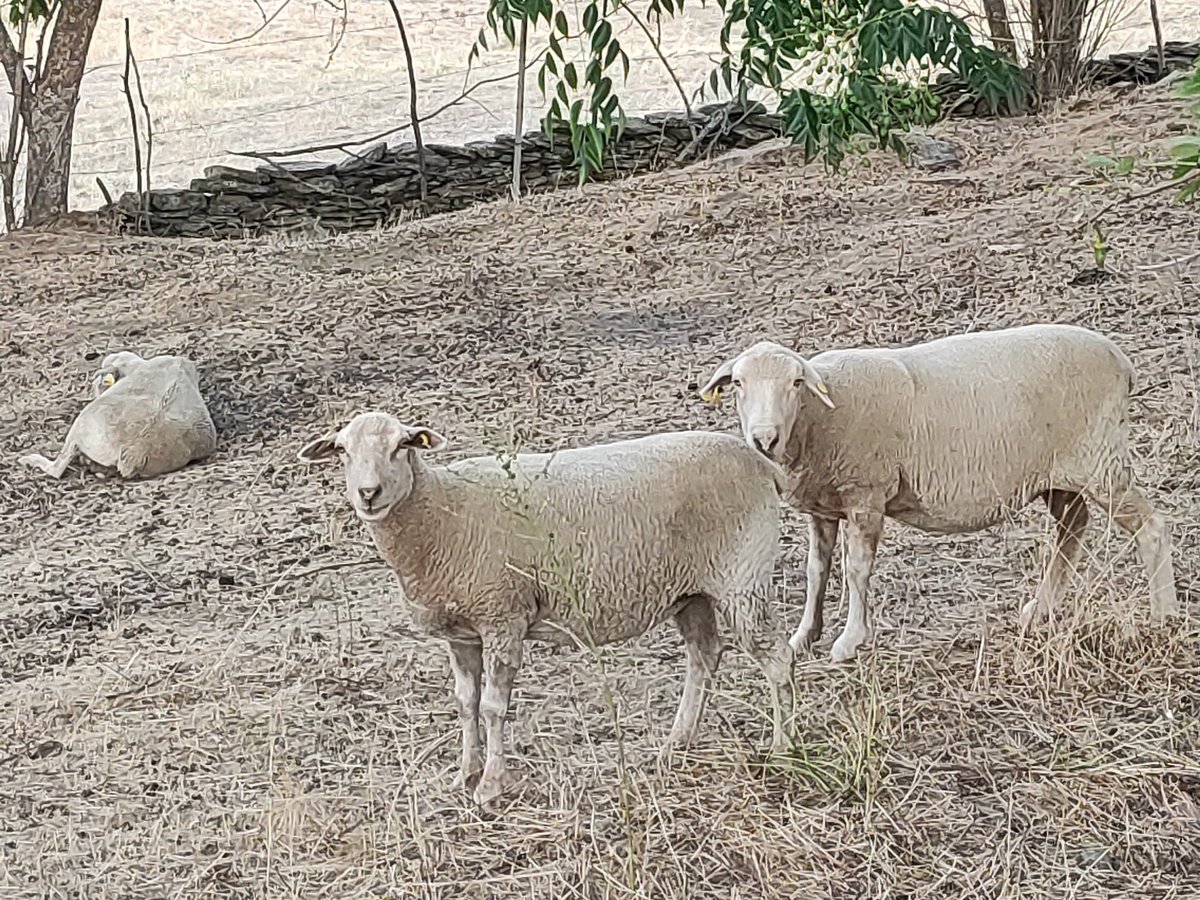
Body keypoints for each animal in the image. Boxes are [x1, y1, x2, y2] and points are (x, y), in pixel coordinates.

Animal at [298, 412, 797, 807]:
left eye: (402, 445)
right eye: (341, 449)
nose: (368, 493)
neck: (441, 510)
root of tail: (759, 463)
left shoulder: (502, 616)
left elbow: (493, 707)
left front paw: (490, 786)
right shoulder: (461, 633)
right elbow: (465, 702)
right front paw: (464, 773)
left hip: (742, 575)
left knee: (777, 657)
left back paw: (783, 747)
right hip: (690, 590)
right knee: (704, 656)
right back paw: (678, 743)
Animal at [699, 324, 1179, 663]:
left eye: (796, 383)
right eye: (738, 384)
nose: (764, 438)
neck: (819, 417)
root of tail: (1121, 360)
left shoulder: (866, 494)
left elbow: (856, 571)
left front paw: (850, 640)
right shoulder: (824, 507)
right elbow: (816, 571)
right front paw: (804, 635)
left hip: (1101, 461)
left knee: (1151, 526)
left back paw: (1164, 615)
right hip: (1062, 474)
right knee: (1071, 530)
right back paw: (1040, 609)